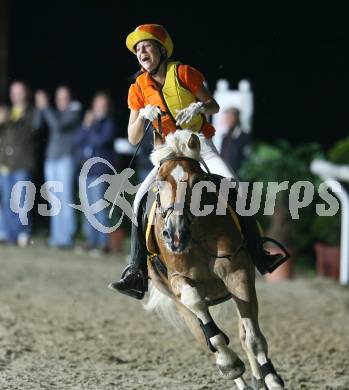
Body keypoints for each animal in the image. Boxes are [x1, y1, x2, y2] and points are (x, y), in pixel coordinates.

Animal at [144, 131, 282, 390]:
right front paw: (229, 363)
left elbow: (253, 339)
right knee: (204, 337)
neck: (196, 235)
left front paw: (272, 379)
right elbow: (199, 309)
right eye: (159, 181)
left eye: (197, 180)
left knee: (244, 334)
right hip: (178, 303)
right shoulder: (178, 280)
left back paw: (258, 379)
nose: (175, 234)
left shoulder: (238, 272)